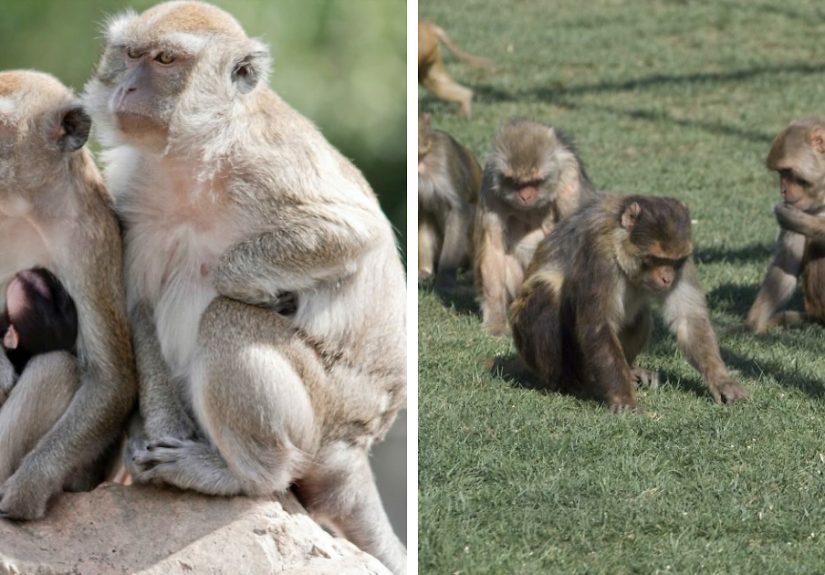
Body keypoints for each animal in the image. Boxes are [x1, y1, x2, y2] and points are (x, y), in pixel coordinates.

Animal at [83, 3, 406, 572]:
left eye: (165, 60)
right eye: (130, 54)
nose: (128, 88)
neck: (192, 159)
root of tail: (358, 444)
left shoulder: (268, 166)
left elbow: (352, 232)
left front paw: (257, 288)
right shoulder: (134, 195)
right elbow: (138, 304)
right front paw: (158, 434)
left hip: (325, 412)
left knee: (225, 318)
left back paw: (245, 475)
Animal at [474, 119, 597, 336]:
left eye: (535, 181)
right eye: (514, 182)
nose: (525, 196)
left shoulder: (569, 178)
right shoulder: (490, 183)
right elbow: (494, 249)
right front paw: (496, 320)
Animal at [510, 193, 747, 411]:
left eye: (673, 261)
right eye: (656, 259)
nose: (667, 278)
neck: (619, 243)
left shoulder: (685, 259)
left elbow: (688, 319)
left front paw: (722, 382)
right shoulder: (600, 254)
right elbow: (599, 326)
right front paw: (623, 397)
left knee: (640, 316)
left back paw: (631, 371)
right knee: (546, 292)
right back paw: (574, 383)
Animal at [746, 118, 825, 333]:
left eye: (788, 171)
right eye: (780, 172)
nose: (782, 190)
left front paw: (803, 222)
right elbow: (787, 261)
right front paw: (751, 325)